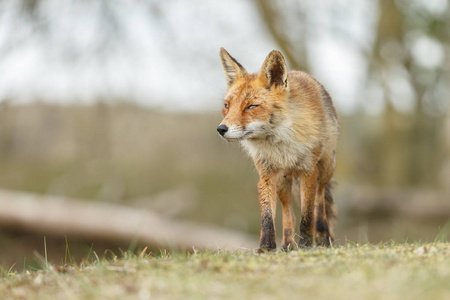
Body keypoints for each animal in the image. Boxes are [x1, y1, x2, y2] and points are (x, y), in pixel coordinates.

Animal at [217, 48, 338, 251]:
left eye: (251, 106)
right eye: (227, 106)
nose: (221, 129)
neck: (281, 148)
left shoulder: (308, 171)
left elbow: (307, 215)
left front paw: (306, 244)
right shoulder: (266, 175)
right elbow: (267, 217)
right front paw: (266, 247)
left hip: (326, 169)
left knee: (320, 201)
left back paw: (322, 236)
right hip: (283, 182)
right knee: (289, 214)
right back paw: (287, 244)